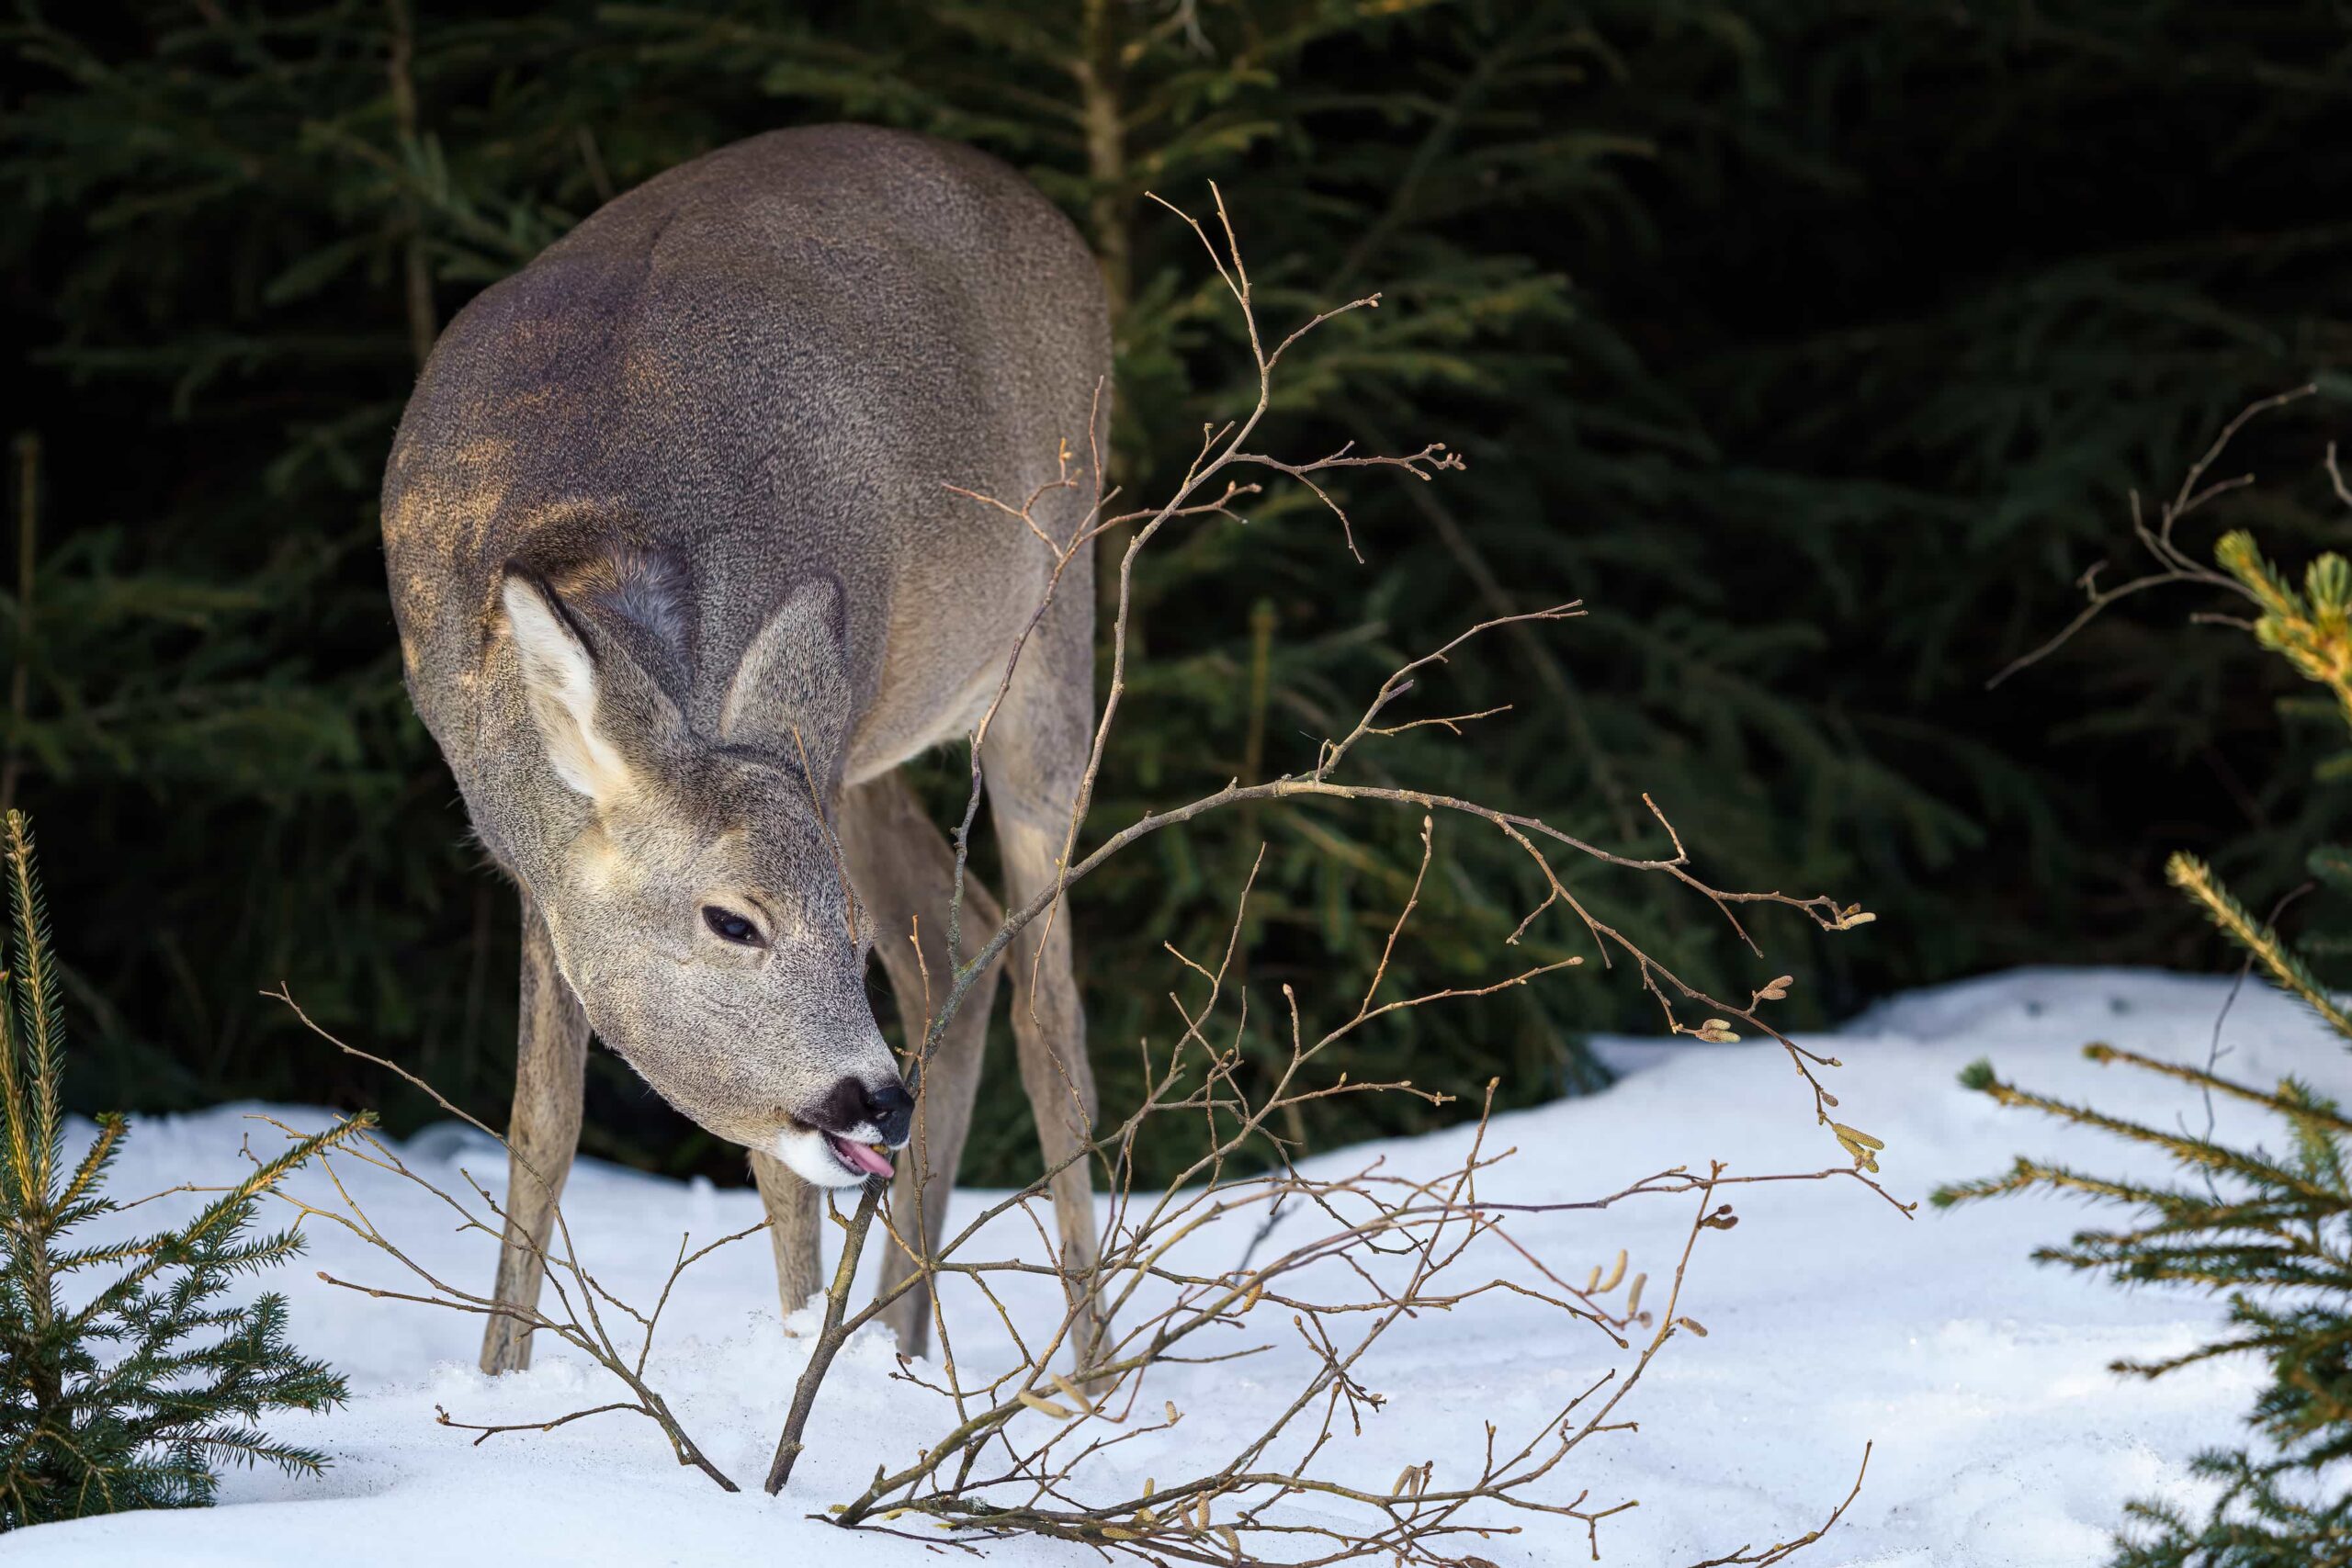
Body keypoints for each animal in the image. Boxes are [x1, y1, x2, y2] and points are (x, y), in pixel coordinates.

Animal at [380, 125, 1114, 1372]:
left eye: (837, 937)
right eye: (733, 921)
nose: (873, 1100)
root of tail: (1055, 225)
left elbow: (775, 1172)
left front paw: (788, 1370)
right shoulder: (535, 867)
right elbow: (541, 1122)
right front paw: (496, 1380)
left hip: (1053, 627)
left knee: (1051, 1024)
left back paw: (1088, 1380)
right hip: (857, 750)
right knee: (953, 947)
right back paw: (900, 1351)